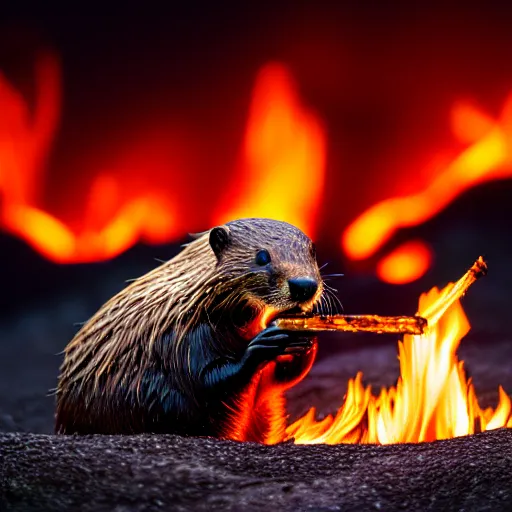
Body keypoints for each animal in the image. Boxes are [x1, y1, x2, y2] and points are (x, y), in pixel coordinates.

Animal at [55, 218, 340, 442]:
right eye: (262, 256)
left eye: (312, 252)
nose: (303, 285)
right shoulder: (184, 335)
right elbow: (206, 379)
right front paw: (264, 343)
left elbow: (280, 378)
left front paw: (305, 333)